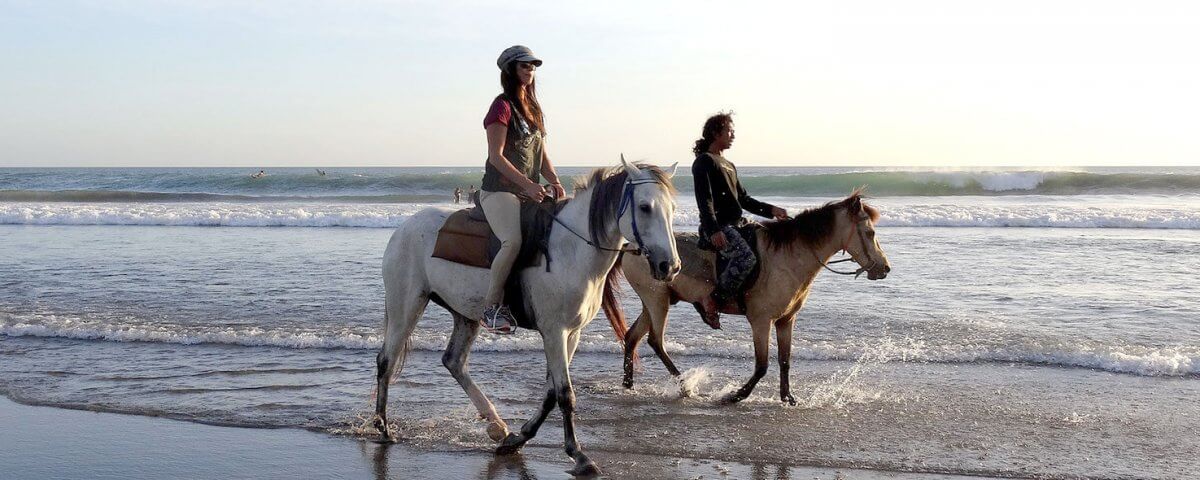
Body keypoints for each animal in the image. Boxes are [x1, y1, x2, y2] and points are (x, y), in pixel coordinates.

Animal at [374, 158, 681, 475]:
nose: (669, 266)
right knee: (387, 360)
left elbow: (550, 393)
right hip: (407, 304)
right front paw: (578, 455)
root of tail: (404, 228)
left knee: (454, 362)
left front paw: (518, 438)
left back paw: (497, 426)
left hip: (465, 314)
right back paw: (383, 428)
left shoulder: (572, 334)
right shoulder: (554, 332)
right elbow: (564, 394)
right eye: (644, 207)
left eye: (672, 208)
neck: (571, 250)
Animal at [609, 190, 892, 405]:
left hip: (655, 301)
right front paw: (736, 395)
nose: (885, 268)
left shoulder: (786, 320)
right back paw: (684, 386)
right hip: (657, 300)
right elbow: (762, 364)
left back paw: (629, 385)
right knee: (655, 341)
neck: (788, 259)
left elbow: (785, 361)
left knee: (632, 337)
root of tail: (631, 247)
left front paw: (788, 398)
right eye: (870, 233)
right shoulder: (760, 320)